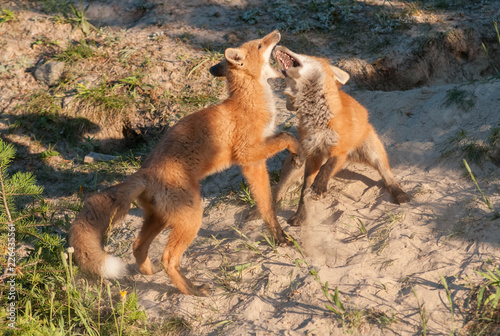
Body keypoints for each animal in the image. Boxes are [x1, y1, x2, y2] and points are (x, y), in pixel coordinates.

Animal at [68, 30, 302, 296]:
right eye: (261, 44)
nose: (277, 33)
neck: (248, 102)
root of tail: (144, 172)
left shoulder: (254, 162)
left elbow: (266, 206)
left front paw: (278, 235)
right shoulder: (248, 155)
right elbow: (286, 138)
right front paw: (298, 153)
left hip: (160, 219)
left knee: (138, 247)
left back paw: (151, 272)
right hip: (191, 218)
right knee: (168, 258)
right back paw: (192, 290)